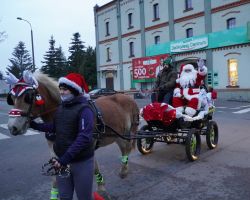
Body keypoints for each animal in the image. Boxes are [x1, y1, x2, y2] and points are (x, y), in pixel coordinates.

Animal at [6, 70, 139, 198]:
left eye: (28, 97)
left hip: (127, 132)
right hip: (117, 135)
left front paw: (101, 189)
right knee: (124, 148)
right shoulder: (55, 151)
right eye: (11, 98)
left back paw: (124, 170)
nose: (12, 127)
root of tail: (128, 97)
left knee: (127, 147)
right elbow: (56, 177)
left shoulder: (87, 147)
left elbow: (94, 167)